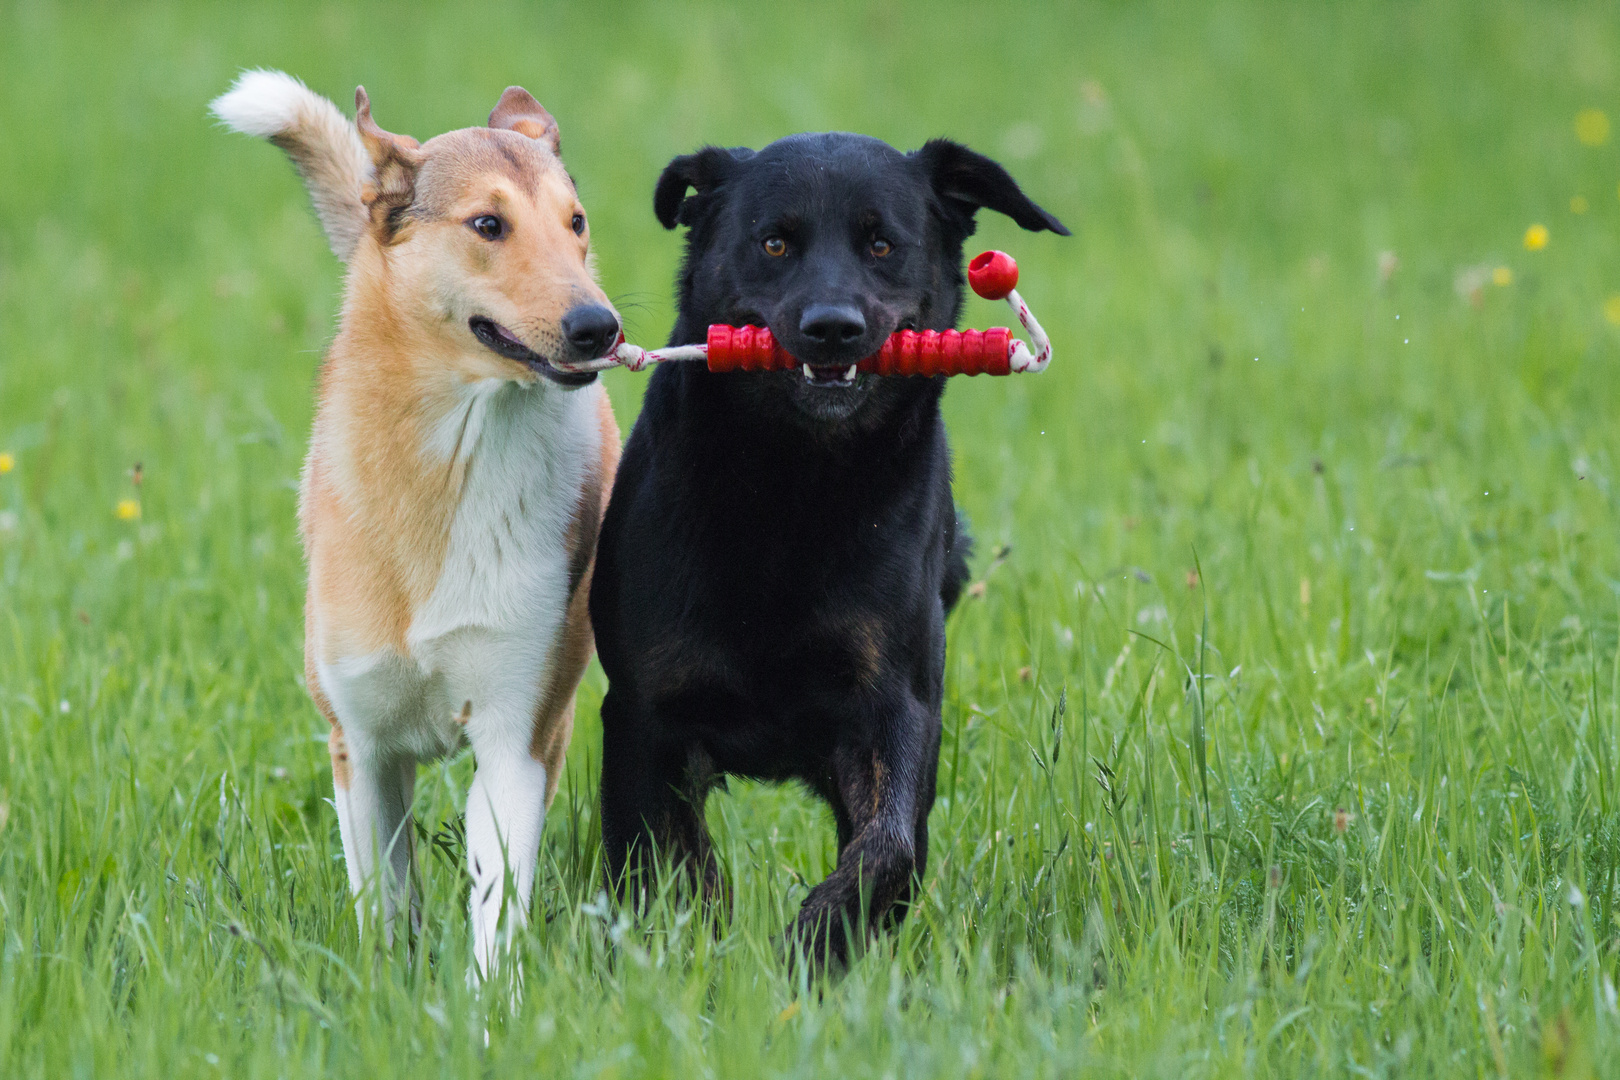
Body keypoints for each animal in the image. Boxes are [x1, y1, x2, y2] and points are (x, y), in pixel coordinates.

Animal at [212, 71, 622, 977]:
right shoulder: (361, 746)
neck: (451, 462)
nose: (599, 327)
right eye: (488, 224)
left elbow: (497, 907)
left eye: (576, 221)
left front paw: (489, 1004)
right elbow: (384, 903)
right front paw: (383, 992)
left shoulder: (515, 733)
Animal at [589, 131, 1069, 965]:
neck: (795, 486)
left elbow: (889, 849)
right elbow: (674, 868)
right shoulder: (646, 715)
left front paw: (817, 940)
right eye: (774, 243)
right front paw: (699, 957)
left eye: (882, 244)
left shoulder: (894, 707)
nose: (833, 326)